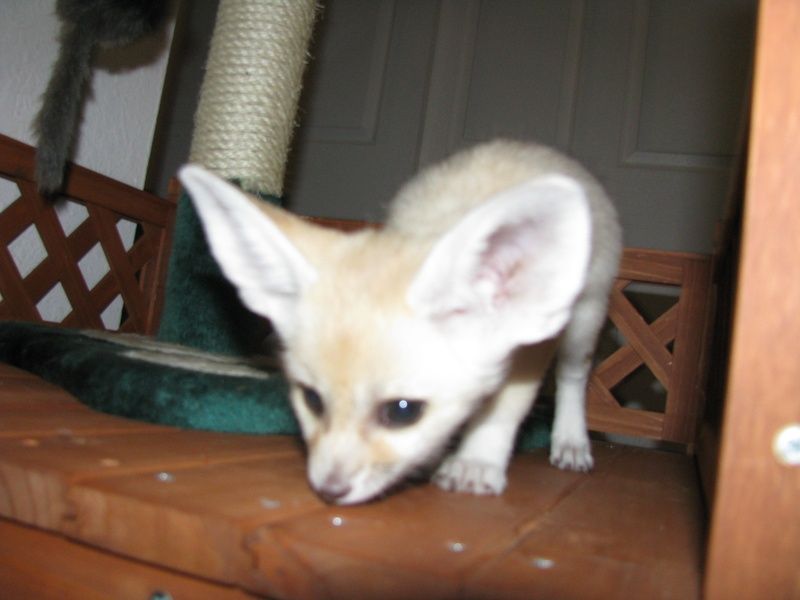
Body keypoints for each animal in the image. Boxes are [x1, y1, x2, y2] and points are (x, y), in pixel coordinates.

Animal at [178, 140, 622, 505]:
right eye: (313, 400)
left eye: (402, 412)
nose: (328, 491)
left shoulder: (528, 346)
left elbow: (502, 410)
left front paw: (478, 461)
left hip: (584, 319)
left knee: (573, 375)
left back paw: (571, 439)